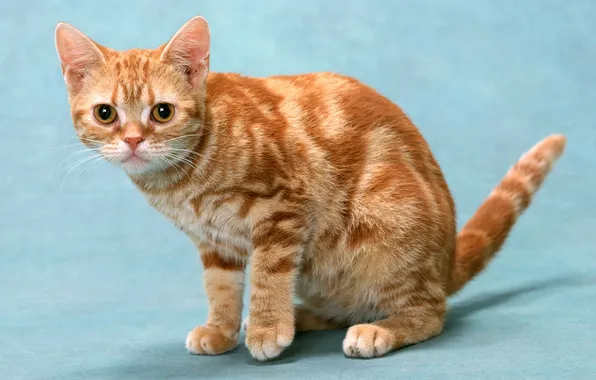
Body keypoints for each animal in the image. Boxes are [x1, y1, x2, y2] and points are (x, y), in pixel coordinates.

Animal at [56, 15, 568, 360]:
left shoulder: (284, 207)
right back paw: (304, 316)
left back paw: (379, 329)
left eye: (162, 112)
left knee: (430, 312)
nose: (133, 140)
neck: (183, 182)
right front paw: (221, 330)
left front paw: (266, 328)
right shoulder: (215, 244)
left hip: (390, 223)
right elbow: (220, 287)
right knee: (350, 304)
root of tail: (447, 260)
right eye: (106, 113)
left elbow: (268, 273)